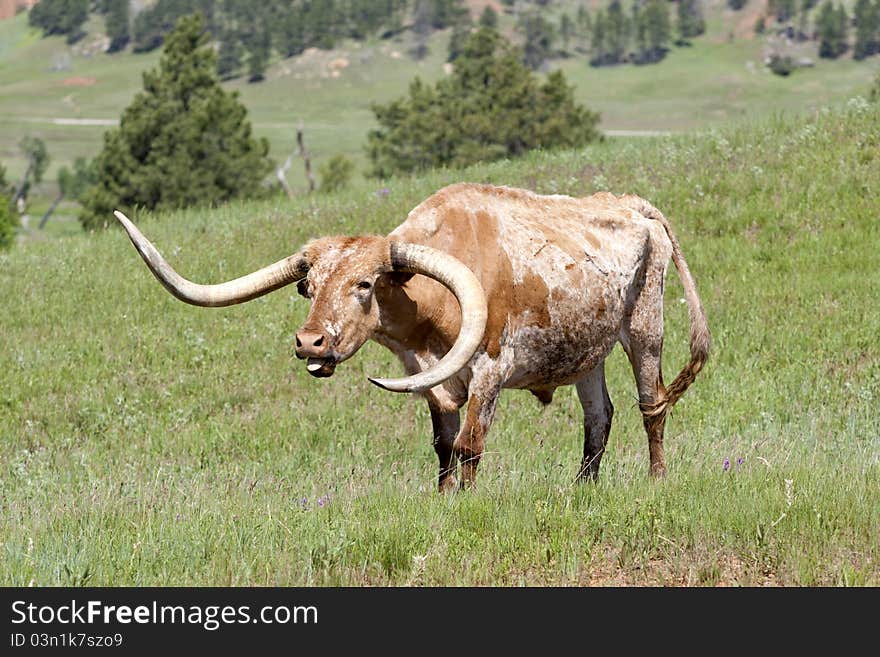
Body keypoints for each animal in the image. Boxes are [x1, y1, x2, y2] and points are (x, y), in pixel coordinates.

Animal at [115, 182, 708, 490]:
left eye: (364, 284)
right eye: (309, 287)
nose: (310, 343)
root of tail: (631, 203)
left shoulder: (489, 370)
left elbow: (470, 445)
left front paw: (468, 504)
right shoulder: (430, 379)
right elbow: (444, 447)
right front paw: (443, 501)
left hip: (645, 329)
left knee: (651, 405)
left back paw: (657, 480)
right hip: (587, 352)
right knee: (598, 417)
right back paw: (582, 490)